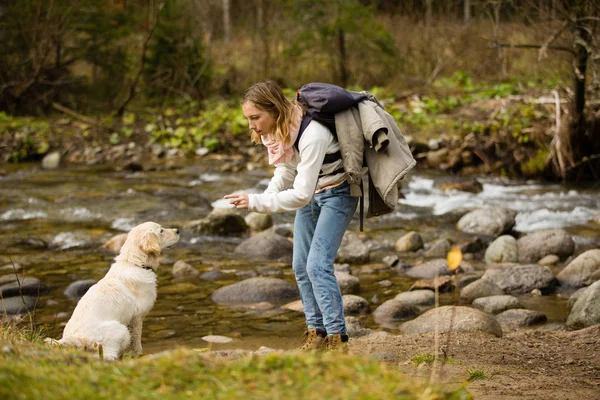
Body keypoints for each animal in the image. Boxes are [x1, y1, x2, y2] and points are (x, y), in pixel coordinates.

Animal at [55, 222, 179, 360]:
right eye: (161, 231)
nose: (178, 231)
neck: (135, 263)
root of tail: (79, 338)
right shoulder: (137, 317)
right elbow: (137, 343)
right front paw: (139, 355)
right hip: (120, 330)